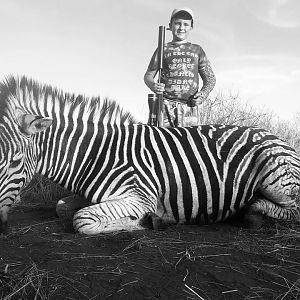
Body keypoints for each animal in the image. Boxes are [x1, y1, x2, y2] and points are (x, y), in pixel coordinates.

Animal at [0, 75, 298, 234]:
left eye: (15, 161)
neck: (96, 155)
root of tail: (277, 137)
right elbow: (62, 207)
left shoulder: (140, 196)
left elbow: (81, 219)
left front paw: (148, 221)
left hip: (275, 176)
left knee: (292, 209)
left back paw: (254, 213)